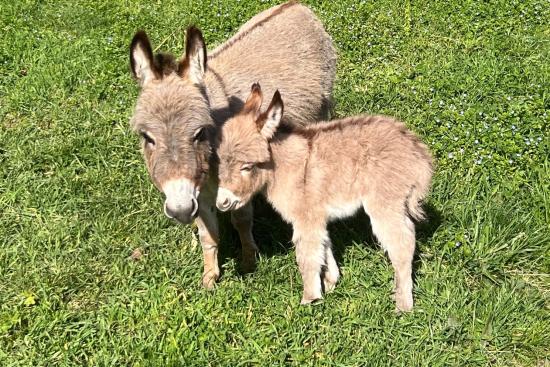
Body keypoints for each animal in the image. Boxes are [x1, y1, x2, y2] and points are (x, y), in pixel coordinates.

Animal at [216, 85, 436, 312]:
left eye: (247, 166)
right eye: (219, 161)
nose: (221, 202)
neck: (283, 168)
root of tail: (418, 153)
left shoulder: (305, 219)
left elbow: (307, 256)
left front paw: (309, 299)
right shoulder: (317, 217)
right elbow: (324, 246)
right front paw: (330, 283)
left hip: (384, 203)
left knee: (402, 242)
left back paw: (403, 305)